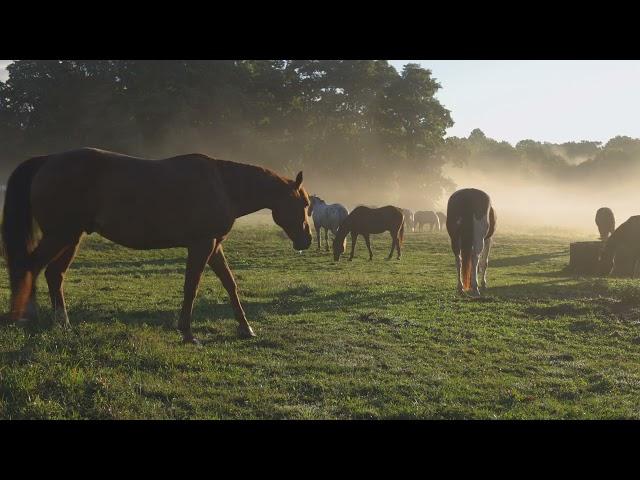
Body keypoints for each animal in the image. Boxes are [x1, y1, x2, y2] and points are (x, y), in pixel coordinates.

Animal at [1, 148, 312, 344]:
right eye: (305, 204)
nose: (306, 240)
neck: (223, 184)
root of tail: (48, 160)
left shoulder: (213, 246)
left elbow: (229, 284)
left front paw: (245, 328)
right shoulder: (201, 245)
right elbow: (191, 287)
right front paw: (187, 333)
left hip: (71, 237)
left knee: (54, 274)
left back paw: (62, 322)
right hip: (61, 235)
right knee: (31, 266)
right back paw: (29, 315)